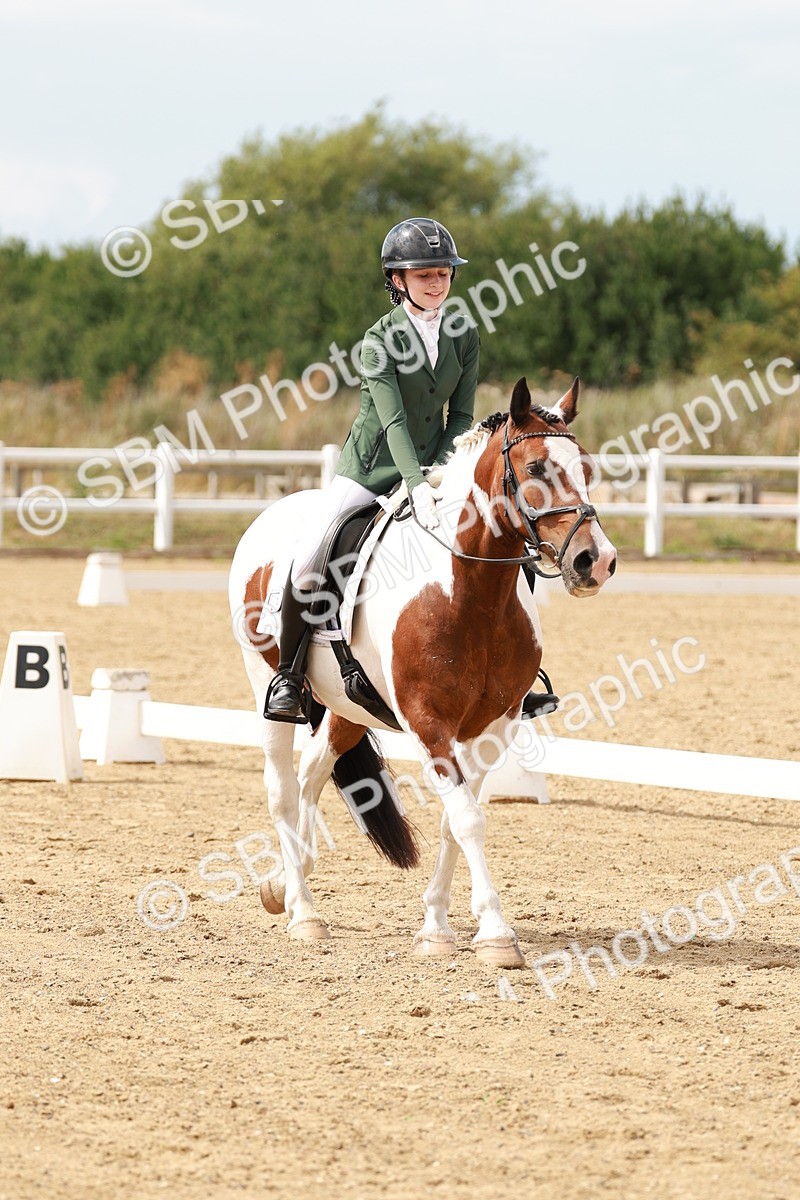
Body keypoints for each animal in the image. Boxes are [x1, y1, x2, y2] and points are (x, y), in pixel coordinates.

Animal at [228, 376, 617, 969]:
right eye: (534, 468)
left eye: (586, 468)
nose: (595, 562)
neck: (470, 592)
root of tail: (269, 516)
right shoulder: (428, 721)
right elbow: (468, 819)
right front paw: (496, 934)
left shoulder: (492, 727)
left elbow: (455, 821)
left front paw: (436, 926)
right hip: (265, 686)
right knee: (281, 788)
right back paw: (304, 913)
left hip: (348, 706)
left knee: (312, 773)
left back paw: (287, 887)